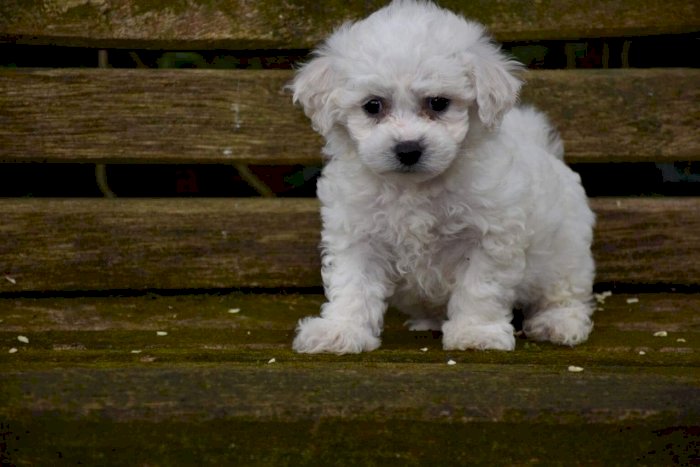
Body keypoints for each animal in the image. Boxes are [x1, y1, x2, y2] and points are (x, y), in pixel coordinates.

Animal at [288, 0, 592, 352]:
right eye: (373, 106)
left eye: (438, 103)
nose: (408, 148)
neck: (413, 187)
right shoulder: (358, 234)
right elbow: (353, 284)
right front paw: (340, 330)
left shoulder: (489, 236)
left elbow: (480, 287)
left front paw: (476, 332)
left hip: (566, 252)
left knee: (564, 291)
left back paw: (558, 322)